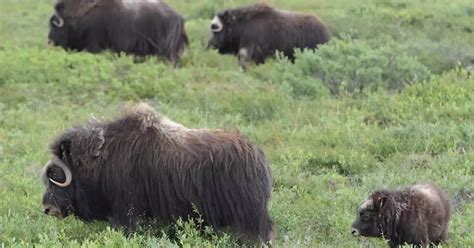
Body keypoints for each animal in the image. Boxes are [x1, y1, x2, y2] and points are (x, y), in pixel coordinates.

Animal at [43, 103, 278, 244]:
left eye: (57, 175)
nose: (47, 209)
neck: (101, 158)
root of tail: (257, 156)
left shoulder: (127, 208)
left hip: (249, 216)